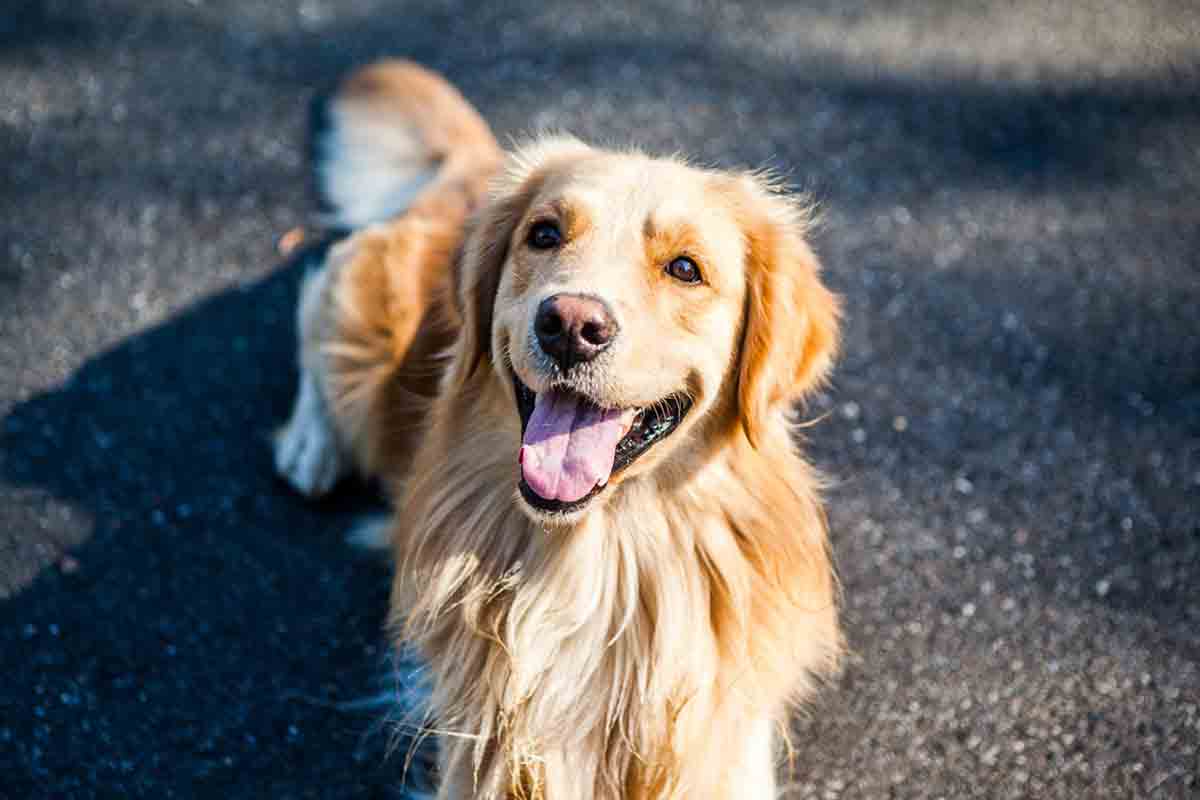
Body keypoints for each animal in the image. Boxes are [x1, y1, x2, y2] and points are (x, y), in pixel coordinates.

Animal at [274, 59, 844, 796]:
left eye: (685, 268)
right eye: (544, 234)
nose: (570, 325)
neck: (599, 557)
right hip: (361, 336)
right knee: (316, 294)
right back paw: (309, 443)